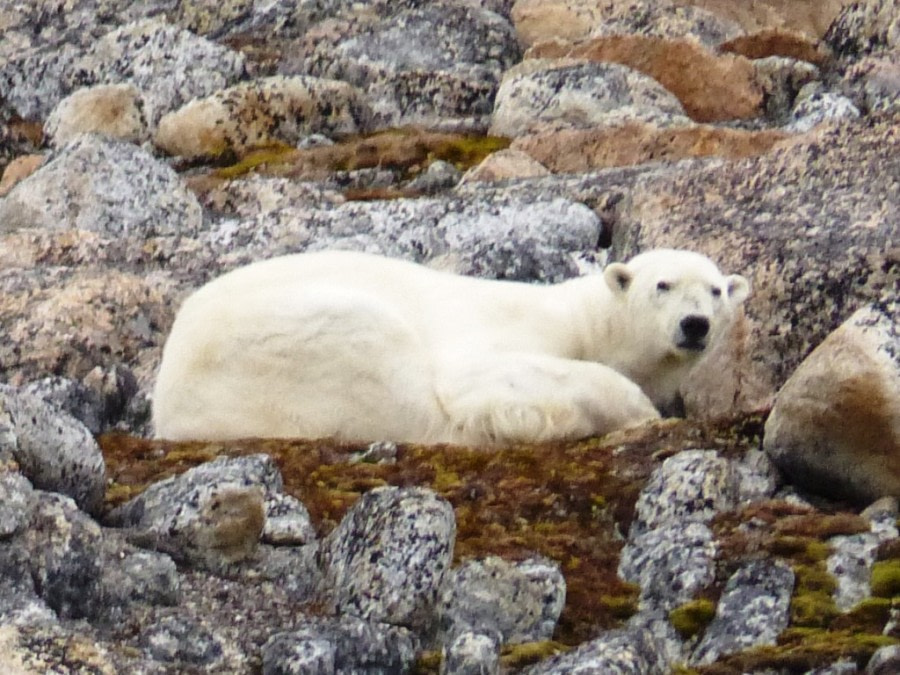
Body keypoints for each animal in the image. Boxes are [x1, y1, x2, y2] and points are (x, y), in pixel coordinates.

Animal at [155, 248, 752, 444]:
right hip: (292, 338)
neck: (586, 320)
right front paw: (638, 410)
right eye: (663, 285)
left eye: (716, 290)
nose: (695, 324)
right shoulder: (506, 330)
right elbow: (477, 378)